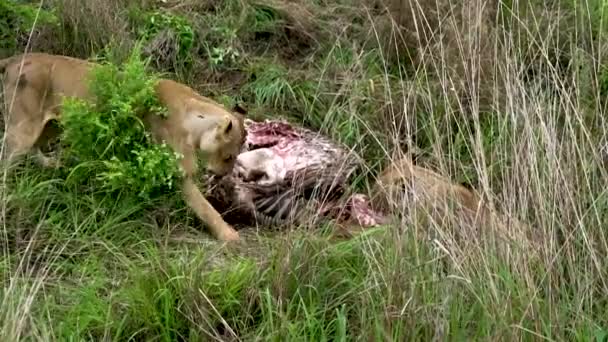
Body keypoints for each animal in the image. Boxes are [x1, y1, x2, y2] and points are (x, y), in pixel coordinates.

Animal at [1, 52, 247, 240]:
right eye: (229, 157)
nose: (224, 175)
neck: (193, 121)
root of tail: (14, 58)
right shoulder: (178, 171)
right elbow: (205, 208)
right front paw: (230, 236)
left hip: (50, 125)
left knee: (35, 149)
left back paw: (52, 165)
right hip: (23, 128)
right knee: (7, 158)